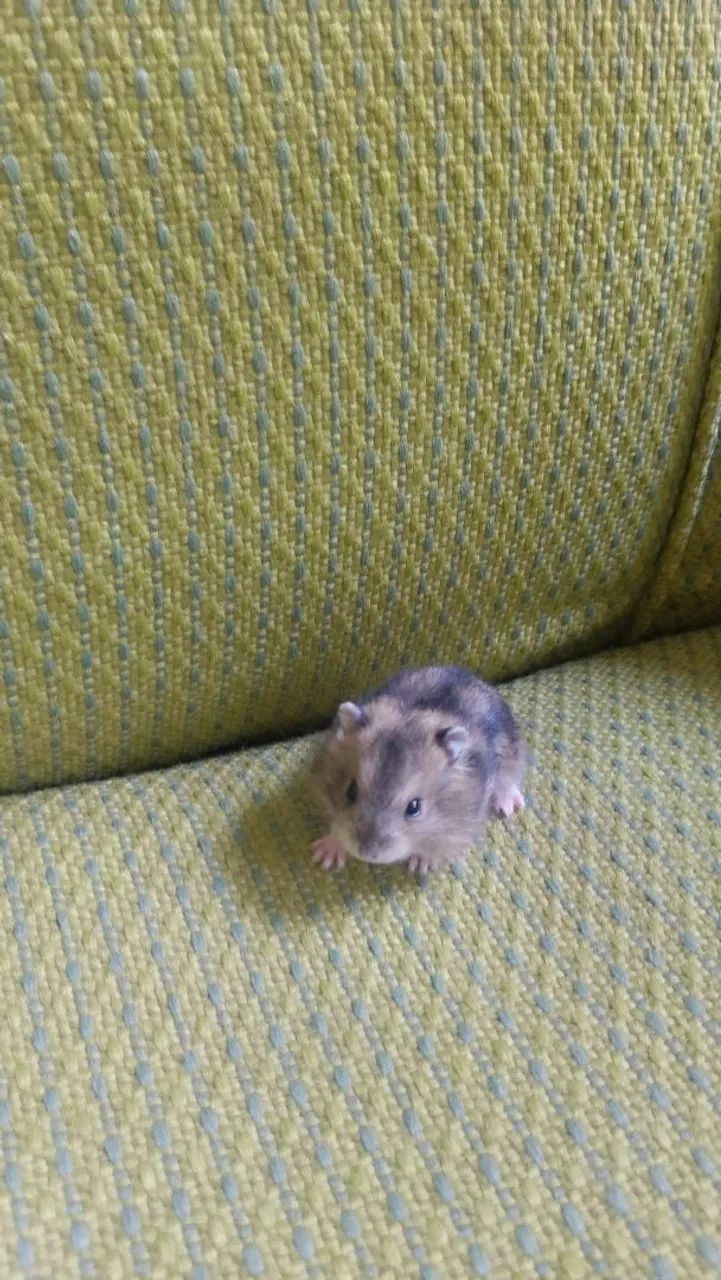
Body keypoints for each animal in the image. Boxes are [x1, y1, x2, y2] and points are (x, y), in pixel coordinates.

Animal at [311, 665, 525, 874]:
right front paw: (324, 857)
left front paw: (419, 865)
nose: (366, 853)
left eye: (414, 807)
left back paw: (508, 807)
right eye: (350, 791)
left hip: (510, 750)